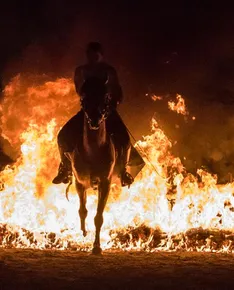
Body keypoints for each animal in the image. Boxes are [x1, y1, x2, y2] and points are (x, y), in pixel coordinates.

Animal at [66, 76, 120, 254]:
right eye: (83, 100)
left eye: (106, 98)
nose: (95, 120)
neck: (93, 151)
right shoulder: (79, 183)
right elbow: (82, 211)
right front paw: (84, 231)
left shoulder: (105, 183)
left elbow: (98, 217)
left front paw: (96, 246)